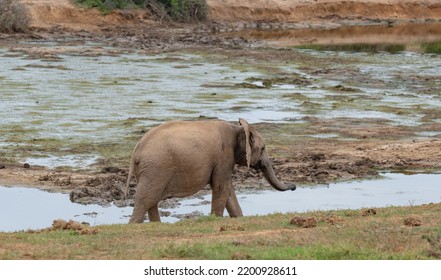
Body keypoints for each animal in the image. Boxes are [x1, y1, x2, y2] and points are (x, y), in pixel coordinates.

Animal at [124, 118, 296, 223]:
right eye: (263, 148)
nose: (294, 186)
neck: (238, 128)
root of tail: (136, 151)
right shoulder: (224, 157)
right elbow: (221, 188)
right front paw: (216, 220)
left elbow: (228, 190)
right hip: (156, 168)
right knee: (145, 200)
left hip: (152, 169)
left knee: (151, 200)